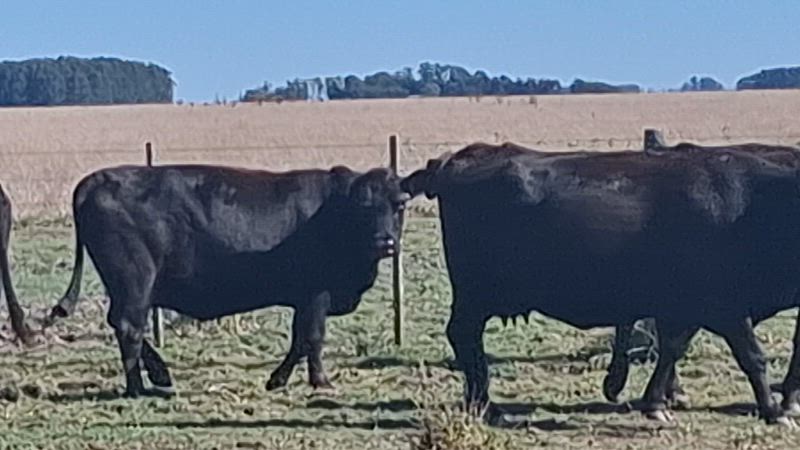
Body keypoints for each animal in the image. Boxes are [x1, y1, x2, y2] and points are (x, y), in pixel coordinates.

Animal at [43, 164, 410, 398]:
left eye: (400, 205)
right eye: (364, 206)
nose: (386, 243)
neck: (335, 212)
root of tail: (97, 179)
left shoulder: (304, 298)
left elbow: (299, 339)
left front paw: (278, 379)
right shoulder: (317, 292)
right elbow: (313, 338)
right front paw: (321, 381)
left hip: (124, 287)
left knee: (119, 322)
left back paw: (158, 374)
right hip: (136, 281)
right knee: (128, 327)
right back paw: (137, 387)